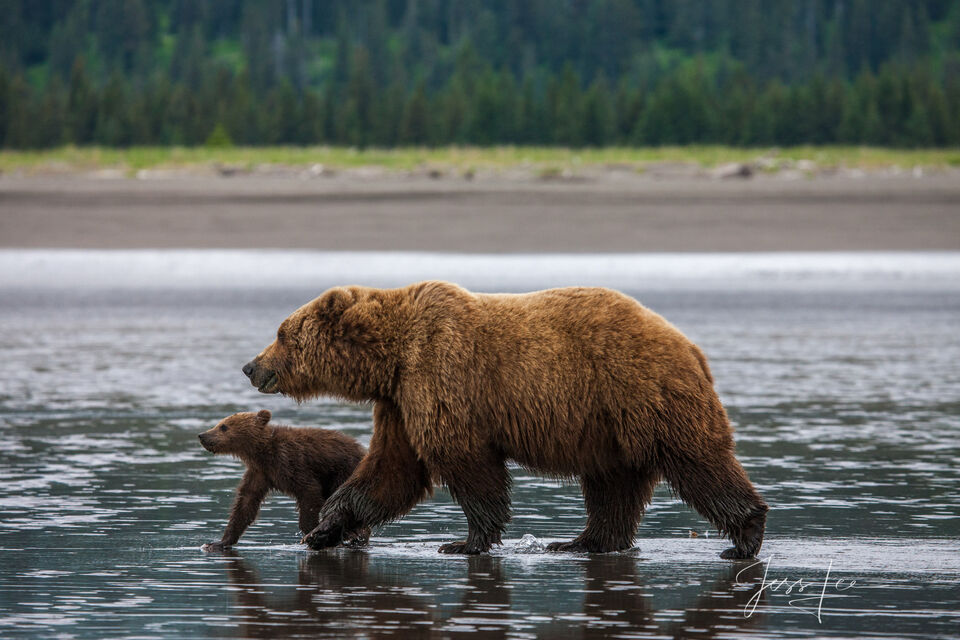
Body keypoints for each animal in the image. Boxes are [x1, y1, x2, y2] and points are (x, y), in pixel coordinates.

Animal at [198, 410, 368, 552]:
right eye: (220, 423)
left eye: (223, 426)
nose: (202, 435)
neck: (262, 453)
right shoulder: (260, 473)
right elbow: (245, 504)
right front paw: (216, 543)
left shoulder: (291, 462)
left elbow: (309, 492)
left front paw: (312, 533)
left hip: (345, 472)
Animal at [244, 282, 768, 556]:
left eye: (282, 333)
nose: (251, 366)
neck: (390, 357)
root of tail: (689, 345)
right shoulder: (399, 401)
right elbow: (391, 470)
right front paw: (323, 529)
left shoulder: (441, 373)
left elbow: (464, 462)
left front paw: (466, 541)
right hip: (610, 426)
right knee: (613, 484)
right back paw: (583, 541)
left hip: (641, 390)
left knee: (696, 459)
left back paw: (744, 534)